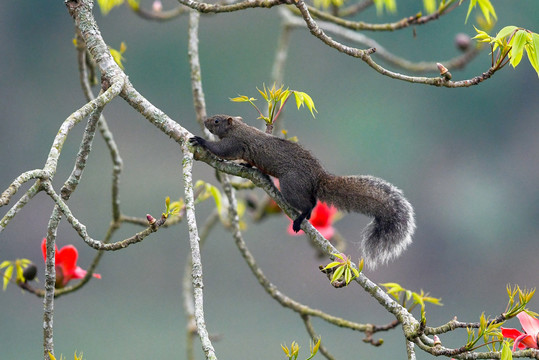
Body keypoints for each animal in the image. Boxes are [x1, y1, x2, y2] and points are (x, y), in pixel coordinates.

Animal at [191, 115, 418, 268]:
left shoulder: (234, 143)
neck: (239, 128)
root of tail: (318, 177)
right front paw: (248, 165)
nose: (205, 119)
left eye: (217, 121)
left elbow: (222, 151)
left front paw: (201, 141)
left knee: (310, 204)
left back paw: (302, 217)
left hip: (291, 185)